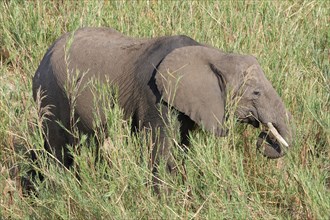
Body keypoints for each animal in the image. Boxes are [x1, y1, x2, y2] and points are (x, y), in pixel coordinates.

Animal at [32, 27, 292, 187]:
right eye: (256, 93)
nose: (264, 138)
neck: (214, 55)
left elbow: (181, 148)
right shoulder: (154, 98)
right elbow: (160, 152)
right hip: (50, 94)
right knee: (58, 151)